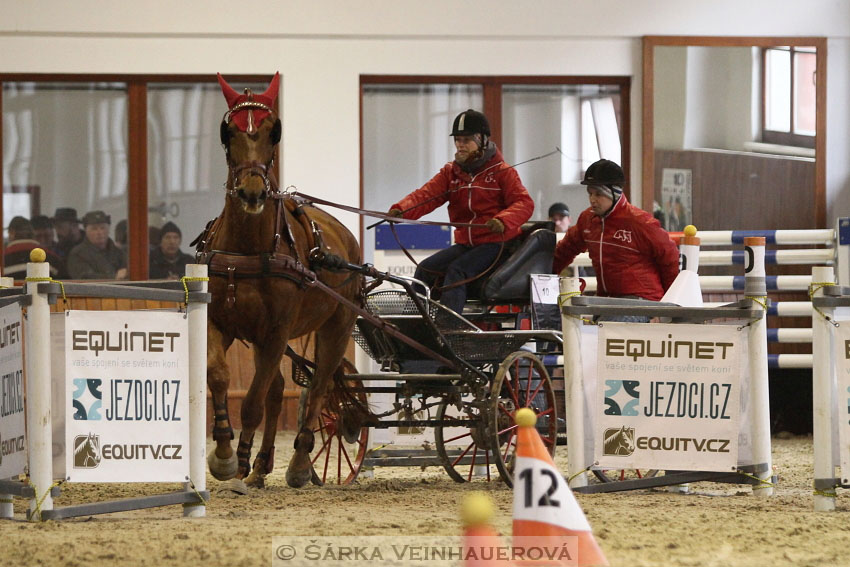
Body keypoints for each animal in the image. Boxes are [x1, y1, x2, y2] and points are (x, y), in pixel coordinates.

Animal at [199, 73, 362, 490]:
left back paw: (300, 463)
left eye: (275, 131)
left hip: (336, 327)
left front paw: (236, 460)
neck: (248, 247)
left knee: (318, 389)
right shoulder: (220, 323)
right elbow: (219, 376)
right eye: (228, 132)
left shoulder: (276, 331)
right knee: (276, 392)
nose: (252, 192)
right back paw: (260, 465)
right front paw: (225, 454)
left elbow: (253, 402)